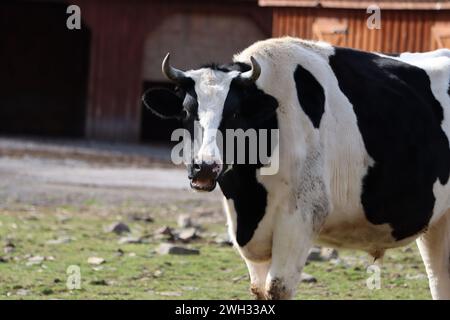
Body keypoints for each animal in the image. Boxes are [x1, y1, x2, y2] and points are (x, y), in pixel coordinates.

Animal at [143, 37, 450, 300]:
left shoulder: (302, 216)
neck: (249, 198)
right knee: (439, 279)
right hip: (438, 222)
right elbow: (259, 289)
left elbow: (277, 288)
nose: (204, 167)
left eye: (234, 113)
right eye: (186, 111)